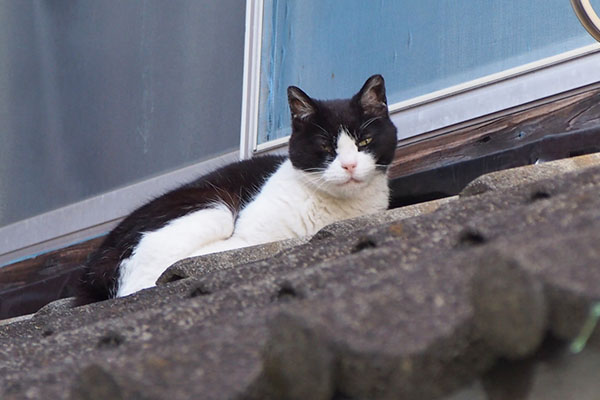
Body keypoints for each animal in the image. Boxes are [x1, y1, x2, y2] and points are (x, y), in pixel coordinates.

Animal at [76, 75, 398, 304]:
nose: (349, 165)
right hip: (214, 207)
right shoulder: (242, 238)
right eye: (326, 146)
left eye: (365, 142)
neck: (335, 211)